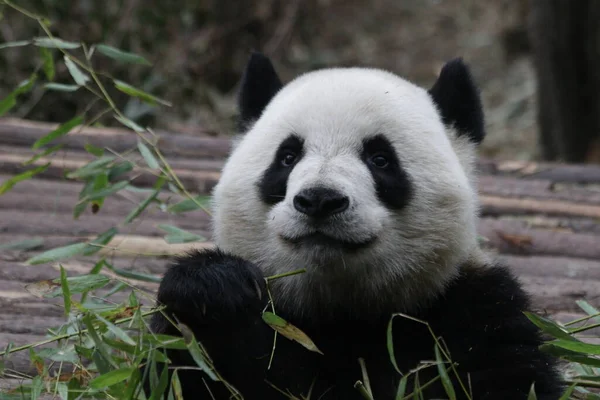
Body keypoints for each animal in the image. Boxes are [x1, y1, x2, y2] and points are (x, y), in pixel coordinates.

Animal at [148, 53, 564, 400]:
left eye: (380, 159)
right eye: (287, 156)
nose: (320, 200)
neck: (342, 309)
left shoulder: (470, 310)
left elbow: (509, 376)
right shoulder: (282, 323)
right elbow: (188, 373)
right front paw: (212, 289)